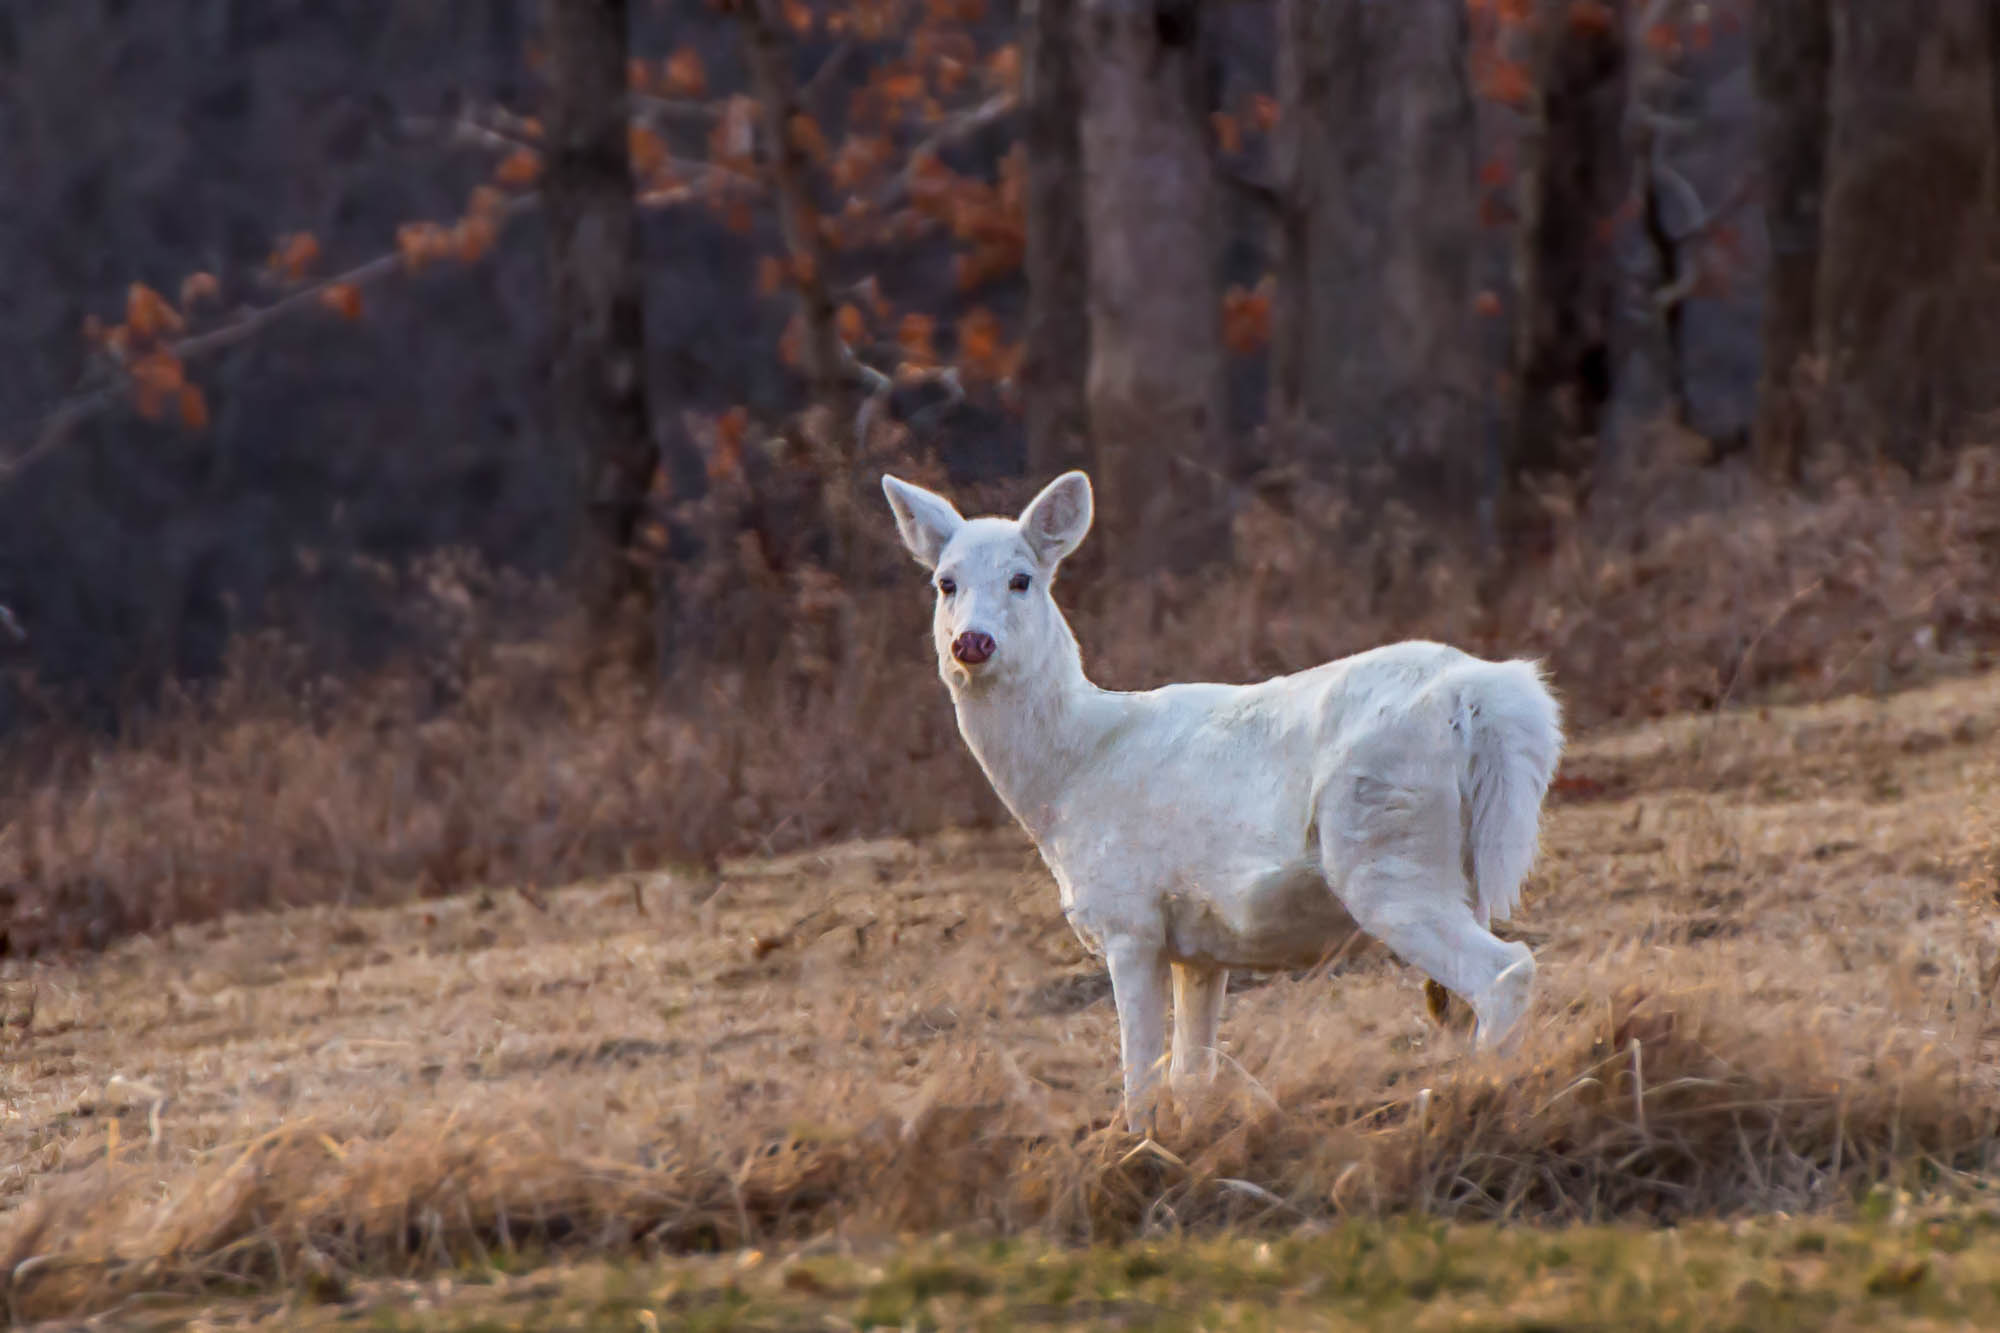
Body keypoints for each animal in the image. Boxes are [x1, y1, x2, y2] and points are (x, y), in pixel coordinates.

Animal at [888, 472, 1560, 1128]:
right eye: (945, 582)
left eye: (1021, 579)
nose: (972, 643)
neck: (1069, 775)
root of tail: (1482, 695)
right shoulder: (1199, 950)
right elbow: (1192, 1077)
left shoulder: (1128, 918)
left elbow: (1140, 1083)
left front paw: (1137, 1154)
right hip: (1454, 868)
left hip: (1387, 850)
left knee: (1506, 972)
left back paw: (1478, 1101)